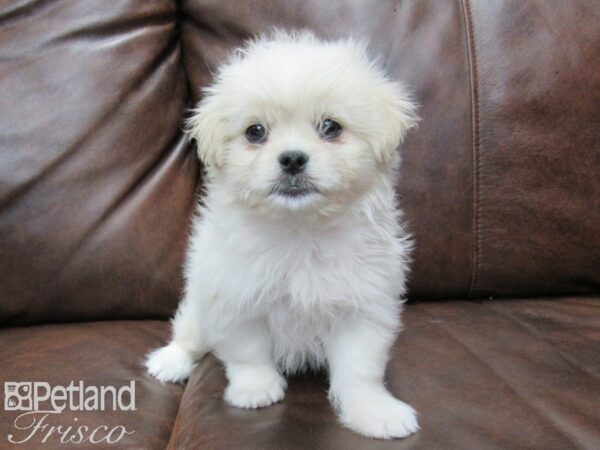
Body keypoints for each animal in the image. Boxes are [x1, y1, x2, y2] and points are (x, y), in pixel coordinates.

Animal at [146, 29, 420, 438]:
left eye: (331, 128)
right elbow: (249, 352)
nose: (292, 159)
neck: (298, 229)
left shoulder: (363, 307)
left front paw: (374, 411)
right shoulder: (236, 297)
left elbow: (360, 369)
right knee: (190, 335)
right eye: (255, 132)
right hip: (199, 303)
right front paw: (255, 390)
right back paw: (171, 361)